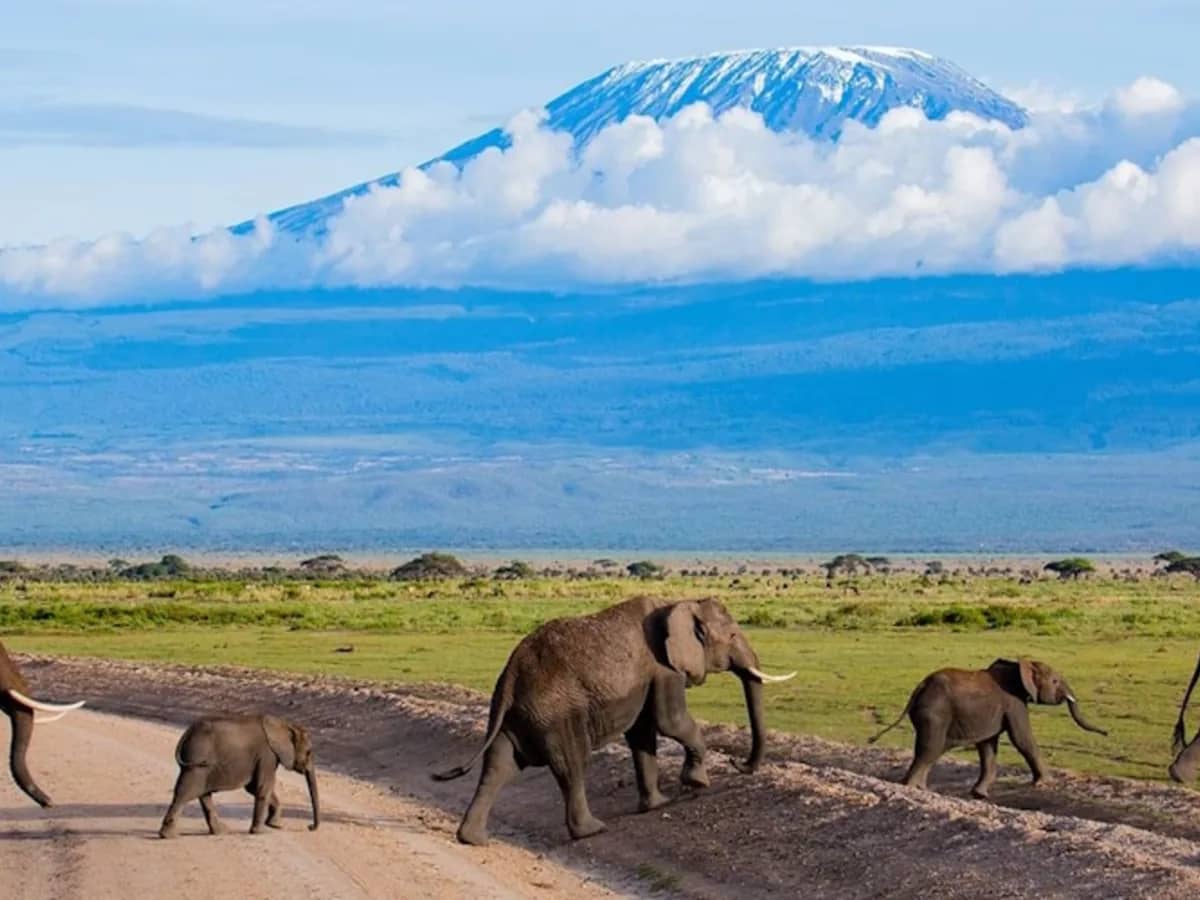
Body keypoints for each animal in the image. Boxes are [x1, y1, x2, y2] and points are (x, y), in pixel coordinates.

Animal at [159, 714, 319, 838]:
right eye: (309, 752)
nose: (309, 827)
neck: (284, 725)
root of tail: (188, 731)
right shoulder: (267, 755)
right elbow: (263, 787)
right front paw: (261, 832)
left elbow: (254, 788)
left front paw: (275, 826)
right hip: (196, 762)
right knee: (185, 793)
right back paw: (168, 835)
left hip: (199, 766)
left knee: (203, 795)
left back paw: (221, 832)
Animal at [434, 595, 795, 845]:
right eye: (732, 635)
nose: (737, 763)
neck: (679, 601)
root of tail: (511, 674)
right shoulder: (664, 668)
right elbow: (671, 722)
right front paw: (697, 784)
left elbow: (643, 735)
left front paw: (657, 804)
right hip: (556, 712)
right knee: (572, 766)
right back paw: (593, 830)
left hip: (520, 714)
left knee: (499, 766)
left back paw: (473, 839)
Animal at [869, 657, 1107, 798]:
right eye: (1055, 681)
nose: (1106, 732)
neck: (1019, 664)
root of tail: (920, 687)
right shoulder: (1014, 702)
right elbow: (1022, 739)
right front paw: (1046, 783)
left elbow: (987, 746)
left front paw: (979, 795)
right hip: (935, 715)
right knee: (930, 749)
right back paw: (911, 788)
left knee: (931, 751)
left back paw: (921, 789)